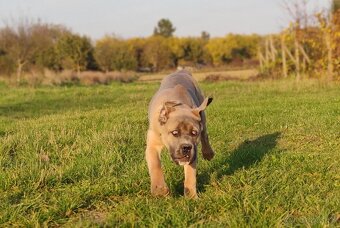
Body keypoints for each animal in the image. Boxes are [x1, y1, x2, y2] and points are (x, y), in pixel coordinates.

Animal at [145, 69, 214, 198]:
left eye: (194, 133)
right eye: (175, 133)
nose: (186, 147)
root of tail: (182, 70)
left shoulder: (193, 154)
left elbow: (190, 175)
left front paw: (191, 197)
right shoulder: (152, 145)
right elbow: (155, 164)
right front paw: (160, 189)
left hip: (202, 113)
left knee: (205, 135)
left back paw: (208, 153)